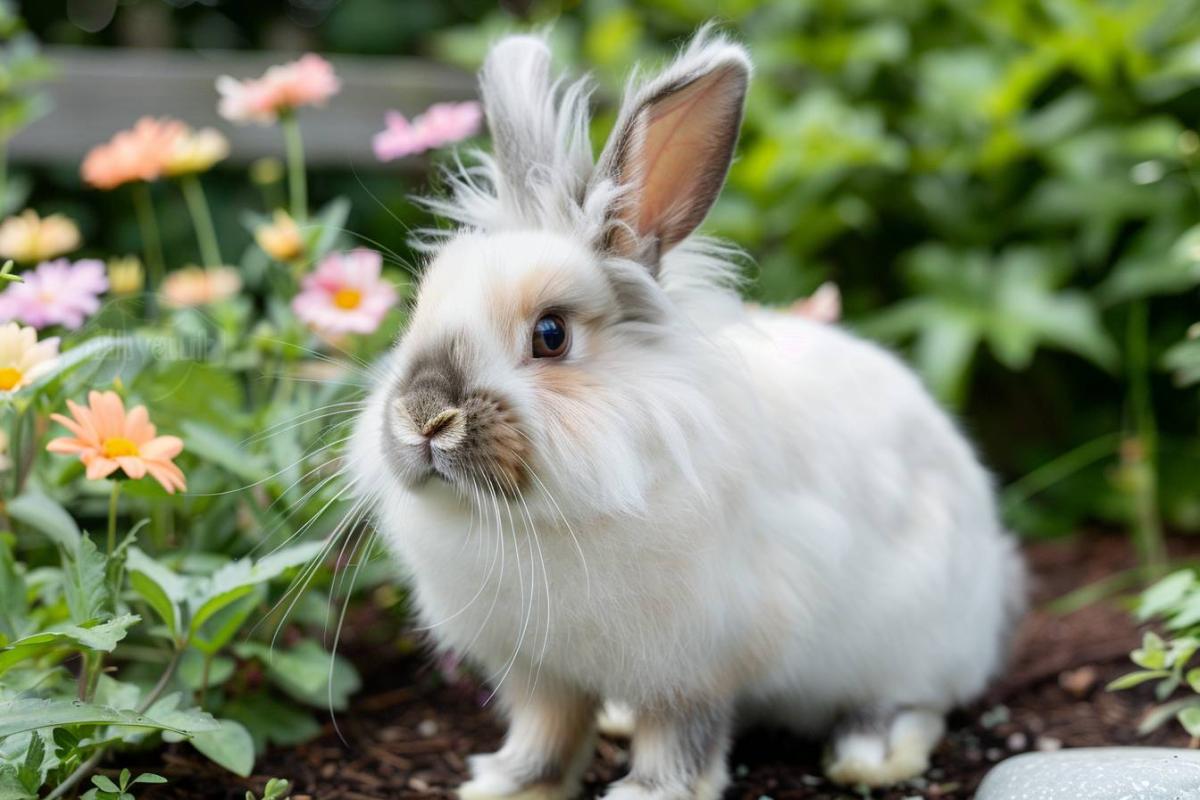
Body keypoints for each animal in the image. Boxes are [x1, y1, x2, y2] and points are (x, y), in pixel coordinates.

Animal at [345, 25, 1022, 800]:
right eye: (417, 312)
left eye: (551, 334)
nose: (424, 415)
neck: (539, 519)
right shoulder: (541, 673)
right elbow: (546, 734)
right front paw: (506, 786)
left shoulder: (694, 664)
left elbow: (682, 737)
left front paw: (647, 792)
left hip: (908, 638)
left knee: (916, 703)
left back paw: (869, 755)